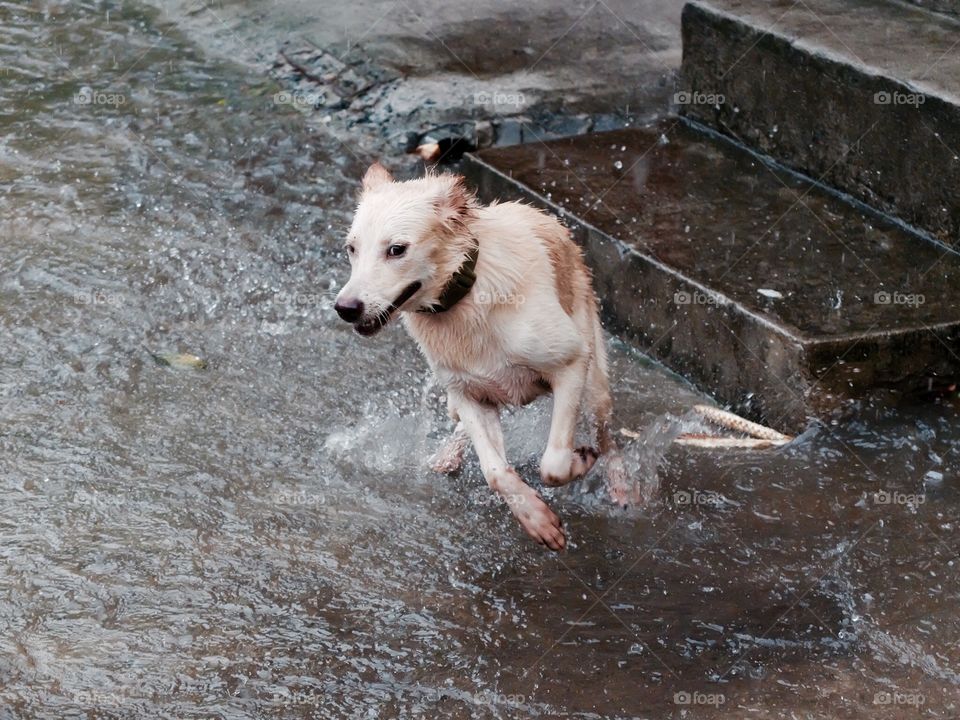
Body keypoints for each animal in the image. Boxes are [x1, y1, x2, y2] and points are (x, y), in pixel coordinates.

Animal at [338, 162, 632, 544]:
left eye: (396, 250)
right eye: (352, 248)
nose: (345, 309)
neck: (465, 300)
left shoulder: (571, 363)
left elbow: (553, 463)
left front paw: (579, 462)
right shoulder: (466, 392)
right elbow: (495, 471)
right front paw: (535, 519)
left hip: (595, 383)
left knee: (608, 437)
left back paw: (621, 489)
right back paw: (446, 457)